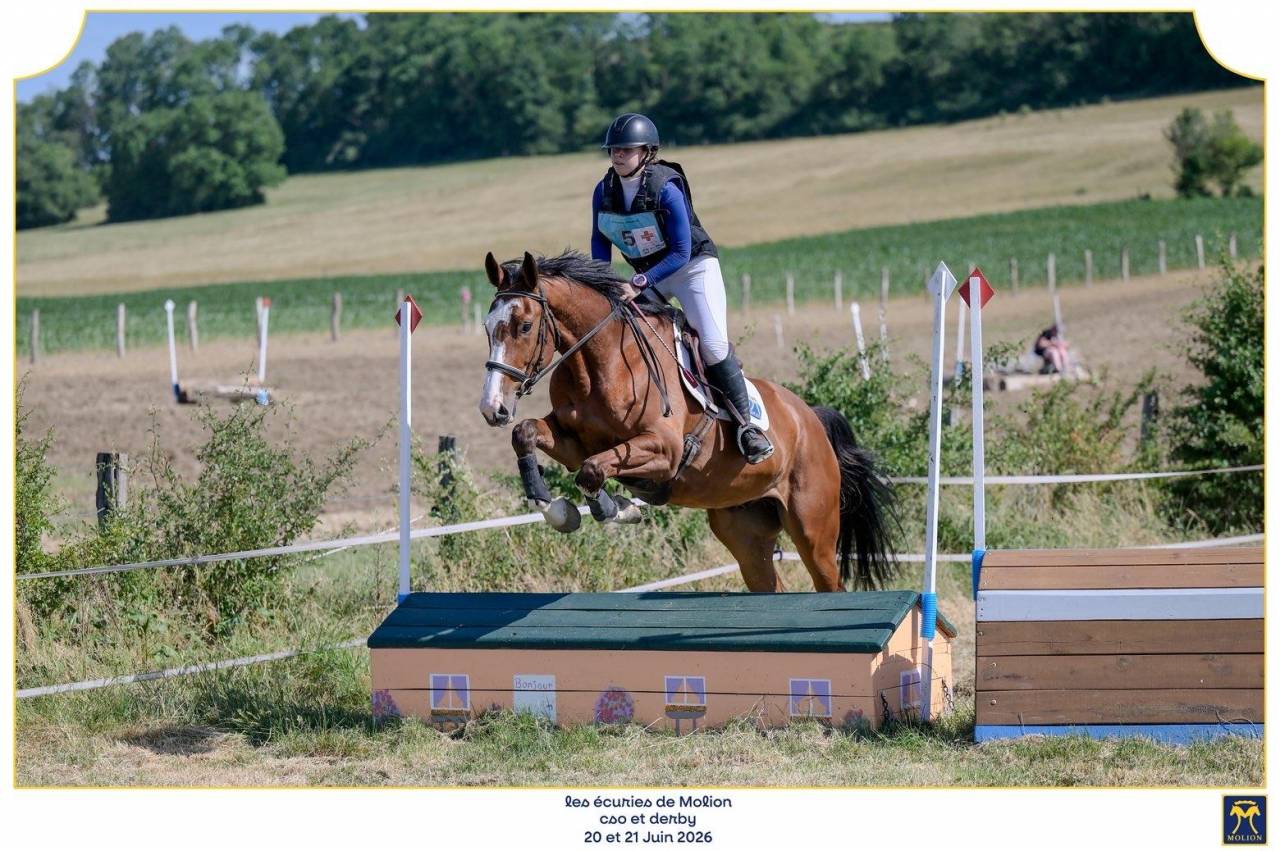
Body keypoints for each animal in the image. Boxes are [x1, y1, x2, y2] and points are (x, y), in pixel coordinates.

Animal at [477, 250, 898, 592]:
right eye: (487, 328)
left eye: (525, 327)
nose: (492, 407)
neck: (601, 362)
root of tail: (810, 419)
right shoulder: (572, 442)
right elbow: (527, 435)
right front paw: (555, 510)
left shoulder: (664, 449)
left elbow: (593, 471)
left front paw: (617, 509)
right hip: (744, 530)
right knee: (770, 584)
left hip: (813, 529)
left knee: (830, 582)